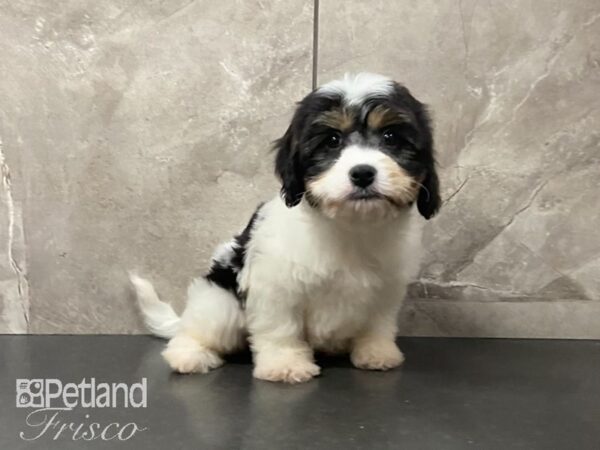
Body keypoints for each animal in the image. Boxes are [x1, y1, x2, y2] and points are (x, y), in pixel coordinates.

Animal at [131, 73, 440, 384]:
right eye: (332, 140)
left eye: (391, 137)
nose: (363, 173)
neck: (350, 227)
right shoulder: (275, 287)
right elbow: (281, 328)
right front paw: (285, 364)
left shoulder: (386, 291)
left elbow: (378, 324)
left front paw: (378, 353)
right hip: (220, 303)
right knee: (198, 331)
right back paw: (190, 355)